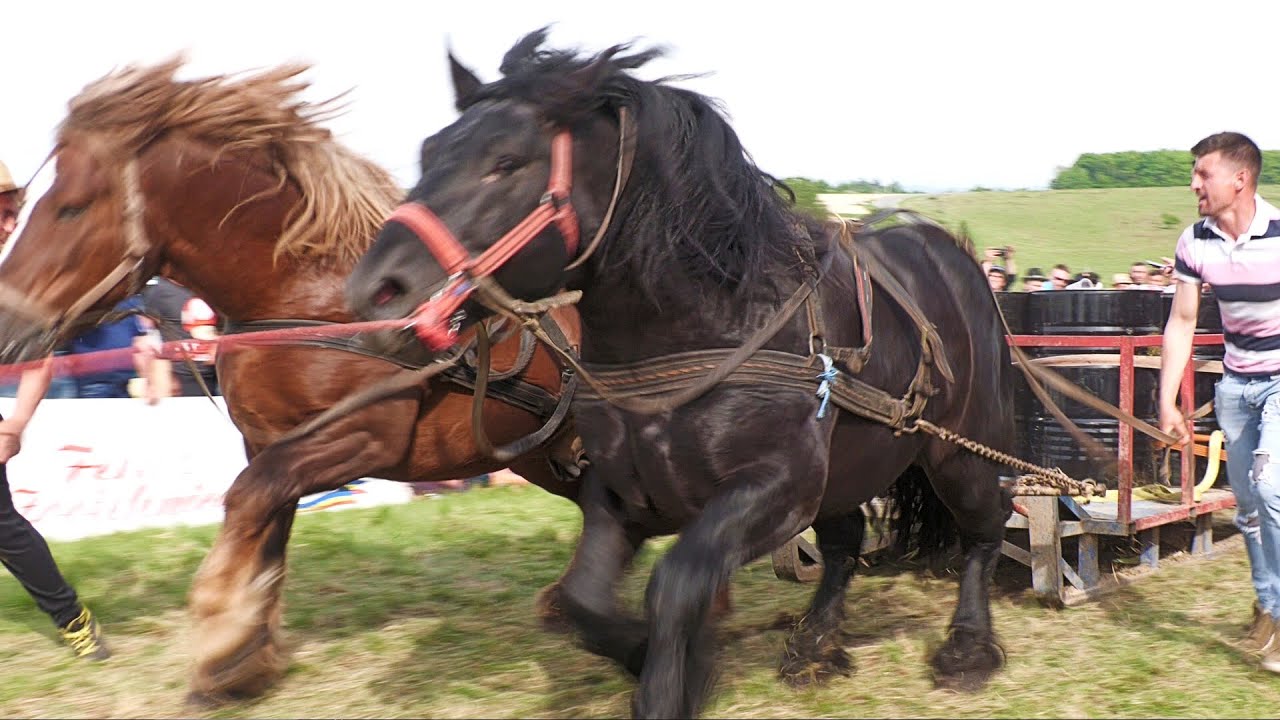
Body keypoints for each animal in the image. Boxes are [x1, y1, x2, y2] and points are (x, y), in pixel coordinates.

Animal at [0, 59, 587, 702]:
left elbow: (247, 498)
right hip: (542, 454)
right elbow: (268, 528)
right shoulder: (268, 442)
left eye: (71, 207)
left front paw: (222, 630)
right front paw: (242, 656)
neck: (311, 298)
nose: (4, 321)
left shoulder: (363, 437)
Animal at [345, 30, 1016, 719]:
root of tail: (953, 255)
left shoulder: (775, 488)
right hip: (851, 466)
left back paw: (968, 648)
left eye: (506, 161)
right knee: (844, 541)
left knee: (984, 526)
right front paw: (652, 657)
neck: (707, 327)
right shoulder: (620, 492)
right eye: (428, 152)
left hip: (958, 451)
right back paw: (815, 647)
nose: (375, 291)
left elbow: (674, 583)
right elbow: (584, 600)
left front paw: (671, 680)